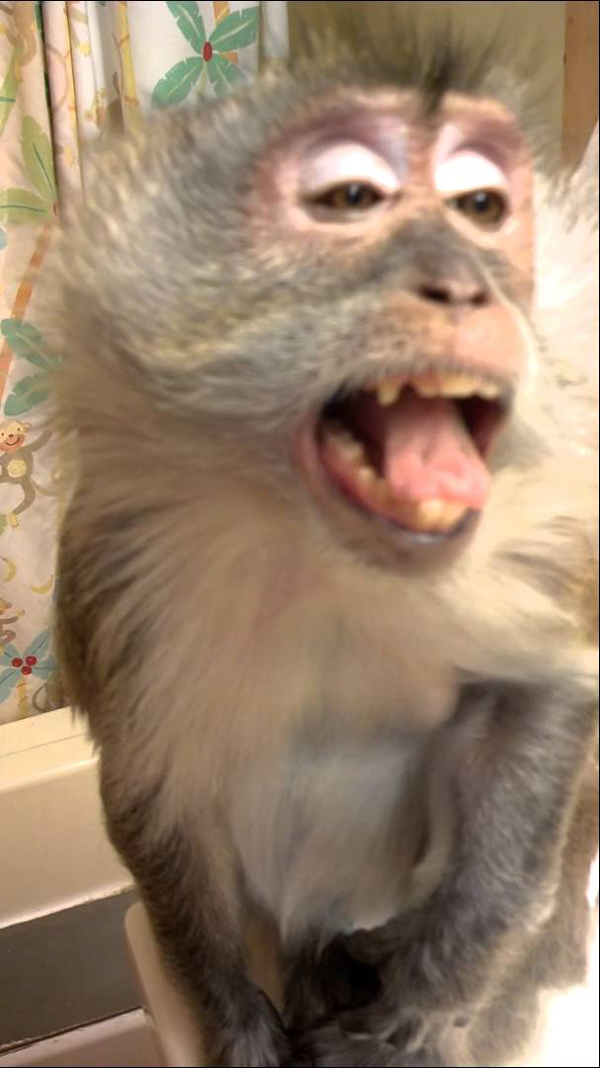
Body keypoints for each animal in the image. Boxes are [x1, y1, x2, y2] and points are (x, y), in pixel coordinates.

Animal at [45, 6, 598, 1067]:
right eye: (351, 199)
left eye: (479, 208)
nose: (463, 287)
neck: (324, 550)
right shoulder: (120, 563)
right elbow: (155, 789)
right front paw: (237, 1030)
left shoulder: (540, 522)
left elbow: (537, 699)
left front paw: (431, 995)